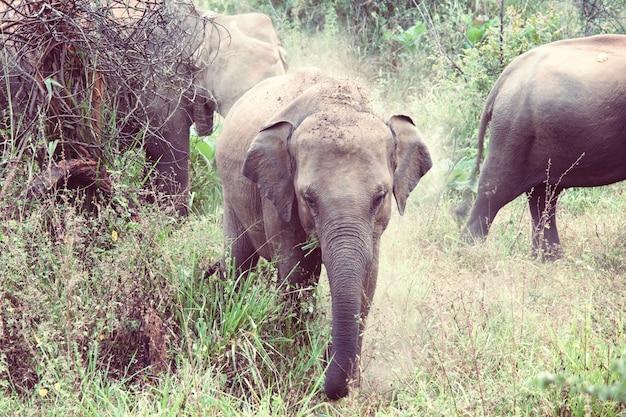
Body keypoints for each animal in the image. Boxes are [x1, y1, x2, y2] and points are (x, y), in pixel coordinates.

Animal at [214, 69, 428, 400]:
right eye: (309, 199)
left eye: (380, 197)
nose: (325, 371)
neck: (338, 105)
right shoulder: (279, 195)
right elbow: (297, 274)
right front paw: (297, 366)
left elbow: (368, 280)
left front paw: (351, 384)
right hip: (230, 192)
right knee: (238, 260)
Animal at [460, 34, 624, 256]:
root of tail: (504, 78)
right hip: (512, 130)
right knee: (495, 190)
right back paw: (470, 251)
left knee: (543, 194)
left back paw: (549, 258)